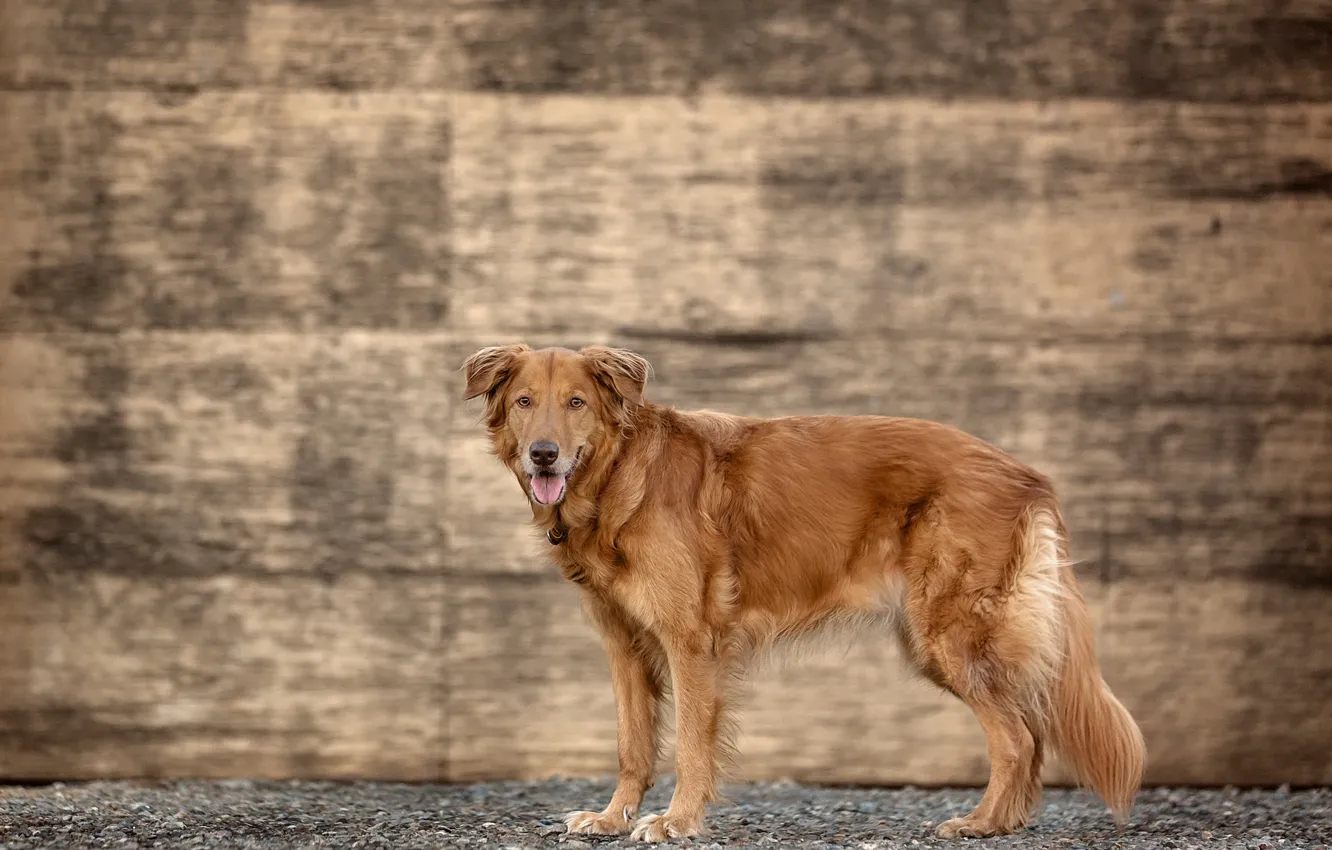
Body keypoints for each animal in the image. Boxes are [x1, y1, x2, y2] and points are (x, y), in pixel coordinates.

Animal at [466, 343, 1145, 847]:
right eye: (525, 402)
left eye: (576, 403)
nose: (544, 454)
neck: (618, 477)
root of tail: (1025, 473)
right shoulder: (625, 646)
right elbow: (633, 744)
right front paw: (611, 819)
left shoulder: (691, 642)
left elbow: (689, 744)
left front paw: (678, 821)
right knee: (1027, 735)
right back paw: (1005, 822)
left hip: (950, 635)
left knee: (1018, 737)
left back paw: (981, 824)